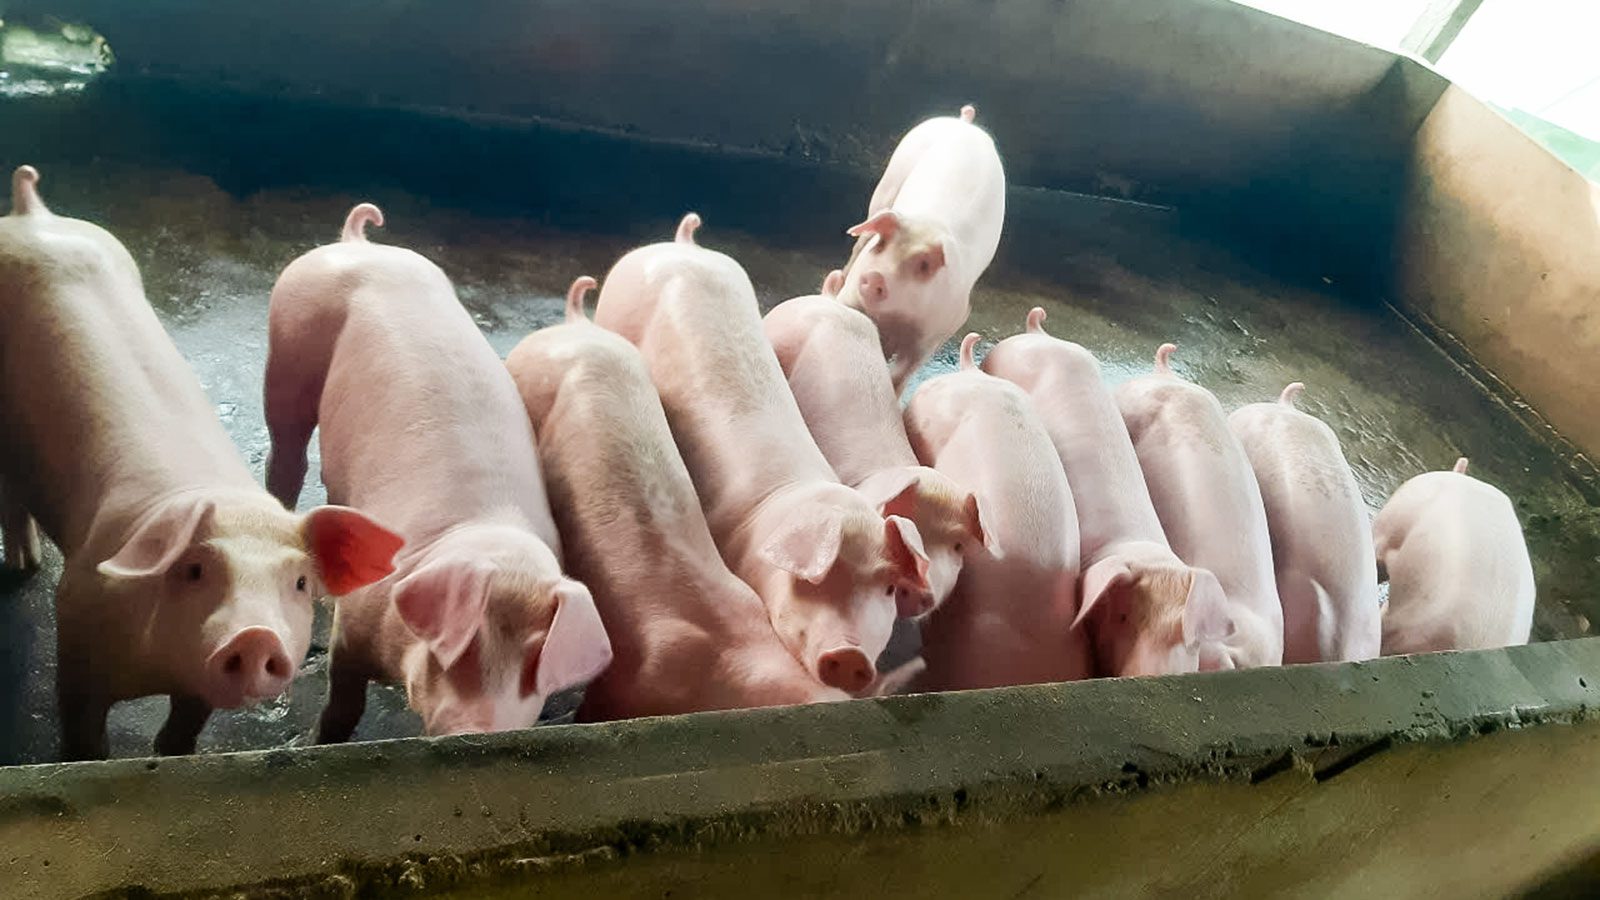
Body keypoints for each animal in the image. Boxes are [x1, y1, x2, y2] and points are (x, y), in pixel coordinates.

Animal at [0, 166, 403, 760]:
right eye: (193, 569)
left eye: (299, 582)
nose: (255, 635)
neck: (156, 668)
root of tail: (32, 213)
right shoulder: (74, 622)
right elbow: (83, 735)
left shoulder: (193, 690)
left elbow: (183, 727)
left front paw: (170, 753)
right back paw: (23, 567)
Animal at [264, 203, 612, 739]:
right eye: (467, 643)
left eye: (536, 662)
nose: (481, 732)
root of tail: (358, 243)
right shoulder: (353, 629)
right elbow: (343, 701)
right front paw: (320, 739)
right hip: (288, 344)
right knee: (286, 455)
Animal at [834, 104, 1006, 393]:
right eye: (882, 243)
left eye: (924, 264)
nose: (874, 276)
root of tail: (965, 122)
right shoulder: (853, 295)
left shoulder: (937, 331)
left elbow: (902, 373)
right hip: (887, 184)